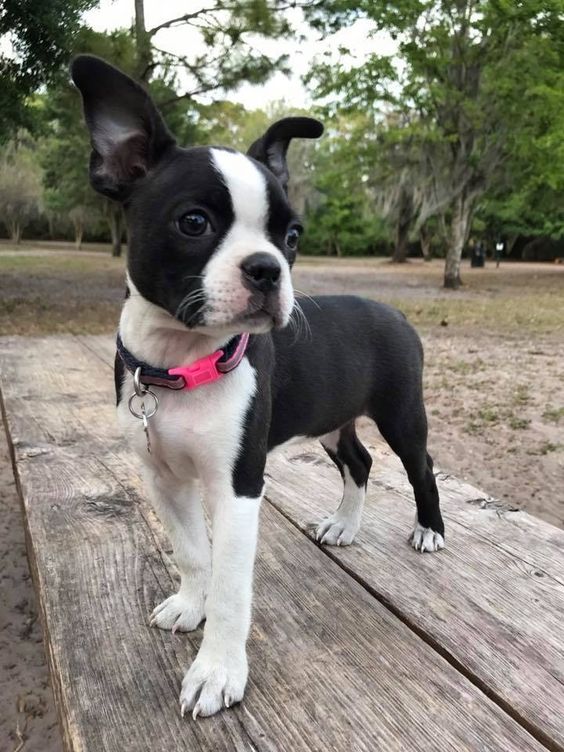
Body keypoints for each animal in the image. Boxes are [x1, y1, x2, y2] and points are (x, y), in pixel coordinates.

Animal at [71, 55, 446, 720]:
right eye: (193, 223)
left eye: (291, 236)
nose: (268, 268)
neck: (180, 362)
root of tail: (394, 310)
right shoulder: (162, 478)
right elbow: (193, 553)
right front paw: (188, 605)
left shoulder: (238, 486)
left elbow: (230, 587)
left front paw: (217, 672)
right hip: (331, 421)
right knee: (359, 460)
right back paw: (345, 526)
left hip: (402, 413)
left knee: (418, 465)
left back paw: (429, 530)